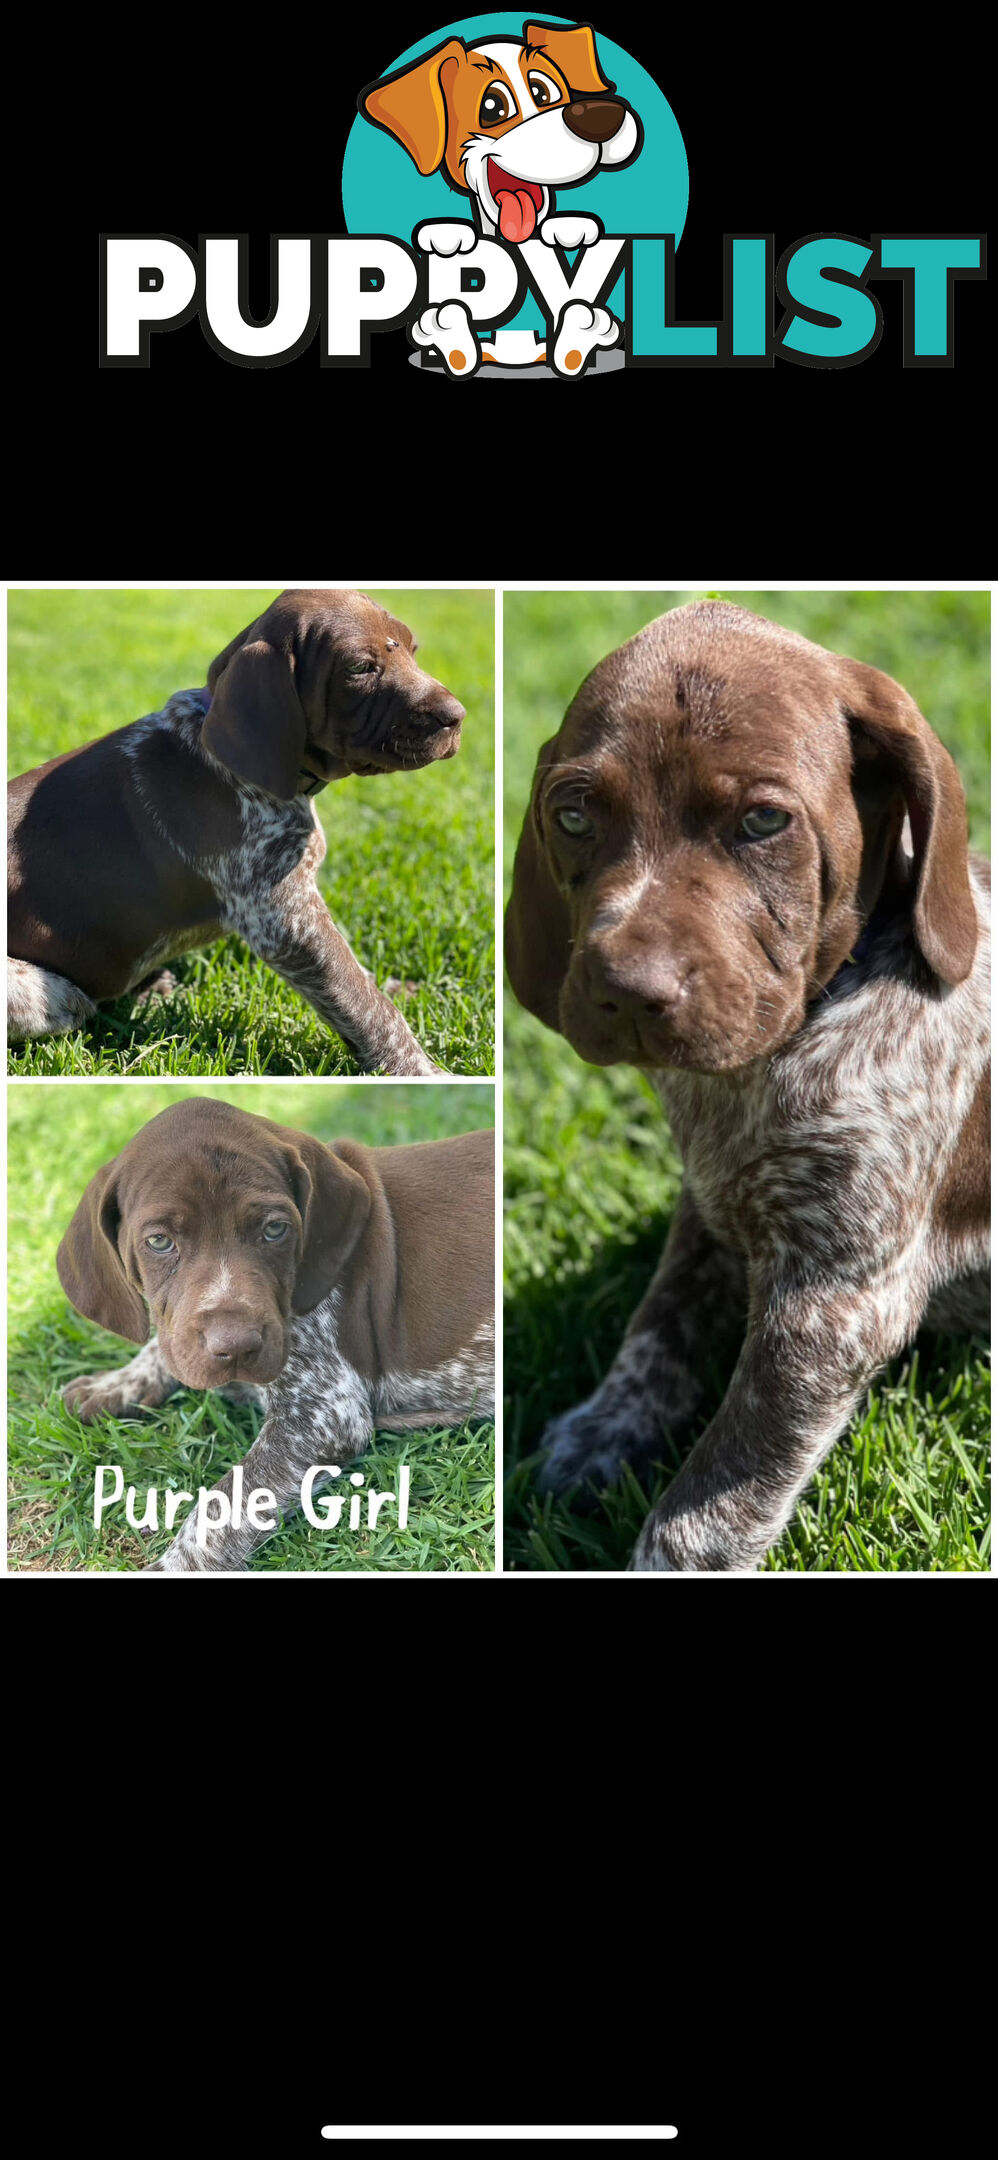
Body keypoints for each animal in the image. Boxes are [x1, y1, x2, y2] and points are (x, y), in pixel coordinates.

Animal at [7, 587, 464, 1075]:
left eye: (413, 650)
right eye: (360, 667)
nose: (457, 717)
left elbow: (360, 977)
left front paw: (399, 986)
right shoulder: (284, 918)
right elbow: (363, 1000)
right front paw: (421, 1069)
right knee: (63, 1001)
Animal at [56, 1105, 492, 1581]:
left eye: (275, 1230)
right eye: (158, 1241)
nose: (236, 1347)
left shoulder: (323, 1417)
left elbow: (222, 1502)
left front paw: (174, 1566)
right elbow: (164, 1345)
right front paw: (114, 1384)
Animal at [507, 600, 989, 1581]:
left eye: (765, 821)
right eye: (573, 815)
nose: (629, 991)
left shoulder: (836, 1300)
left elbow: (721, 1485)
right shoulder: (707, 1209)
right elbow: (656, 1324)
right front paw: (600, 1434)